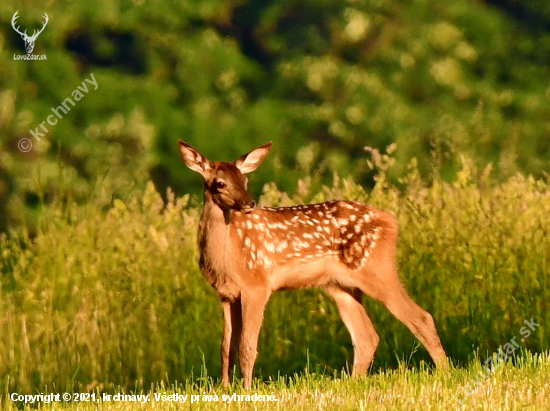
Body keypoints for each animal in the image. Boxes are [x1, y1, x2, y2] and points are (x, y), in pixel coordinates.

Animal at [179, 140, 450, 388]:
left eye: (245, 181)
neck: (225, 259)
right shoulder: (226, 294)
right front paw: (224, 390)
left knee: (420, 317)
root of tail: (392, 222)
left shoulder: (257, 285)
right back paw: (353, 382)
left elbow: (247, 344)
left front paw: (247, 390)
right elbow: (226, 347)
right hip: (339, 285)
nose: (249, 203)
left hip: (375, 268)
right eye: (220, 183)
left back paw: (446, 372)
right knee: (367, 336)